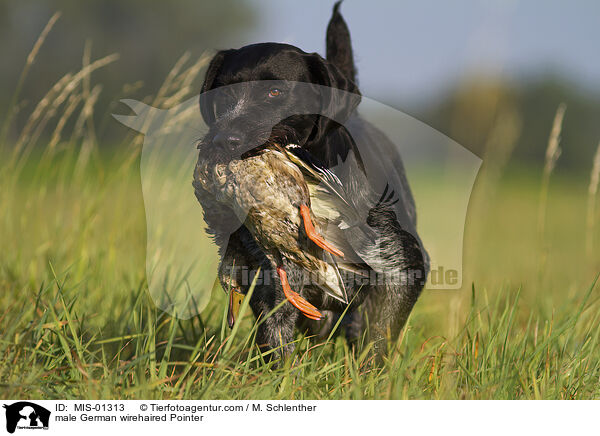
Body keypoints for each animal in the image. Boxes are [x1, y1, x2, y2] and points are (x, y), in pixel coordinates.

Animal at [195, 1, 428, 358]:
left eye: (275, 91)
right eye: (223, 94)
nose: (222, 141)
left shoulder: (402, 270)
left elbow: (377, 341)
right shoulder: (275, 287)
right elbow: (278, 347)